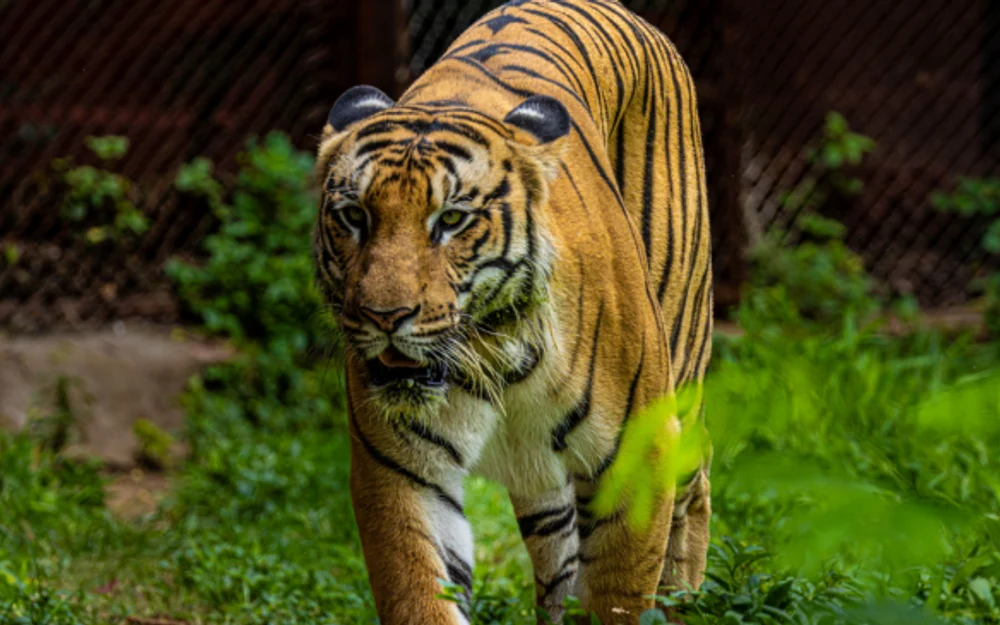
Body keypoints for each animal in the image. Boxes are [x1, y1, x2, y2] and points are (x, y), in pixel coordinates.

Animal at [312, 0, 713, 622]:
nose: (384, 316)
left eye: (450, 220)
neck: (497, 353)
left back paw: (684, 602)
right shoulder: (401, 472)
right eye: (355, 216)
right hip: (542, 479)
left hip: (682, 370)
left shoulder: (637, 459)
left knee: (697, 485)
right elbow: (420, 592)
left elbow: (618, 597)